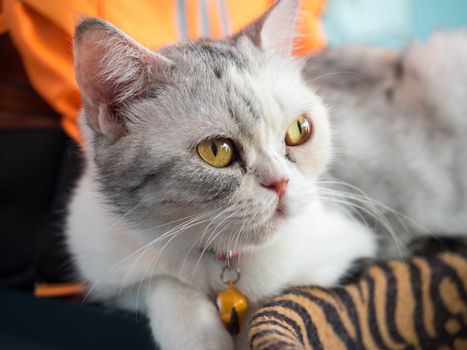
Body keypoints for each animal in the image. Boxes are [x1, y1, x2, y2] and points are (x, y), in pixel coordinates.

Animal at [67, 1, 378, 348]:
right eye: (217, 150)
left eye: (299, 130)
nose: (280, 183)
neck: (221, 262)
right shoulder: (108, 279)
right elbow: (163, 284)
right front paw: (197, 333)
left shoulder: (349, 252)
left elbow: (268, 310)